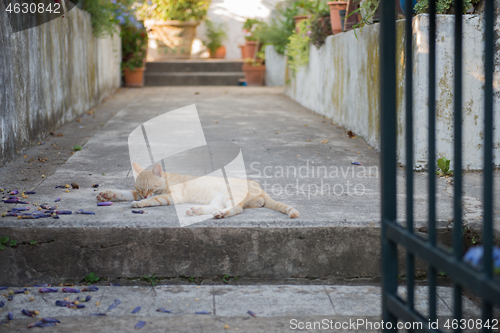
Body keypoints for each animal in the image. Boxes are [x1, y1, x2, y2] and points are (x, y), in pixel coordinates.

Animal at [96, 163, 300, 219]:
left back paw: (222, 214)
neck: (168, 178)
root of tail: (261, 188)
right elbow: (123, 192)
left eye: (151, 188)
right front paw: (107, 194)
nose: (144, 194)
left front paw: (141, 202)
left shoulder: (172, 196)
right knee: (216, 207)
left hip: (231, 194)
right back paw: (196, 211)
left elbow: (154, 200)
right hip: (219, 198)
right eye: (140, 188)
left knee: (236, 209)